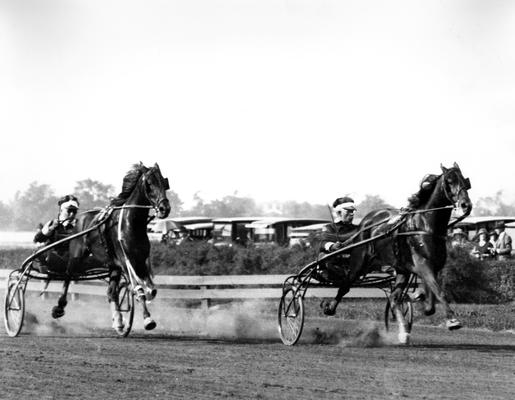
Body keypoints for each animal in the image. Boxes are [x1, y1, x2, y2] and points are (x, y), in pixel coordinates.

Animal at [50, 162, 171, 332]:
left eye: (164, 182)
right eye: (149, 183)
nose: (164, 208)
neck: (131, 223)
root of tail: (80, 218)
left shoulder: (139, 261)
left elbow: (150, 290)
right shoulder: (126, 261)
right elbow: (139, 290)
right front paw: (148, 319)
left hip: (114, 266)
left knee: (111, 292)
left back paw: (118, 321)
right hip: (77, 255)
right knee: (68, 276)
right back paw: (59, 307)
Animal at [320, 162, 474, 344]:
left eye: (465, 181)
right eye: (449, 181)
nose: (466, 205)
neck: (425, 226)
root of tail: (364, 223)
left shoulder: (433, 267)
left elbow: (431, 300)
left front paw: (418, 298)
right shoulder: (422, 264)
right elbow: (439, 292)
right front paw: (452, 320)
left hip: (401, 269)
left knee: (394, 298)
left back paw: (403, 332)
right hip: (359, 262)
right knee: (345, 285)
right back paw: (329, 307)